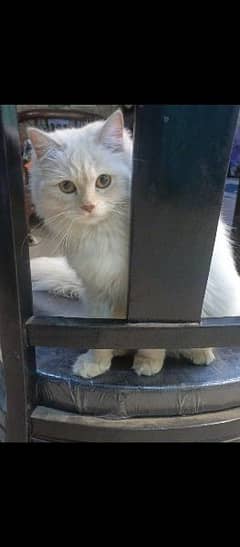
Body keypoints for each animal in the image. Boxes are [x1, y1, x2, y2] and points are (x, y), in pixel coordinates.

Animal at [27, 109, 240, 378]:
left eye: (103, 181)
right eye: (67, 187)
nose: (88, 207)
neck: (101, 235)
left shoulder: (155, 294)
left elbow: (152, 339)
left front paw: (148, 364)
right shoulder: (98, 290)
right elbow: (102, 337)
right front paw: (96, 363)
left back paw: (199, 354)